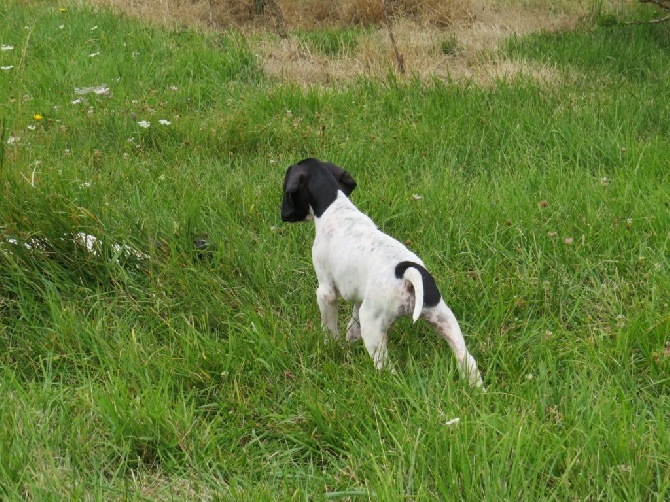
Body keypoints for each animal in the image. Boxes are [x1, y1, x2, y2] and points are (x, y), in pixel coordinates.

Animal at [280, 158, 486, 388]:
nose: (284, 216)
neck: (336, 207)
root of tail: (405, 274)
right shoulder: (360, 298)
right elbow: (352, 324)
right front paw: (350, 341)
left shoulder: (326, 292)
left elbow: (329, 327)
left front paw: (331, 347)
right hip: (442, 317)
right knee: (466, 359)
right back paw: (476, 388)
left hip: (374, 328)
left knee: (387, 371)